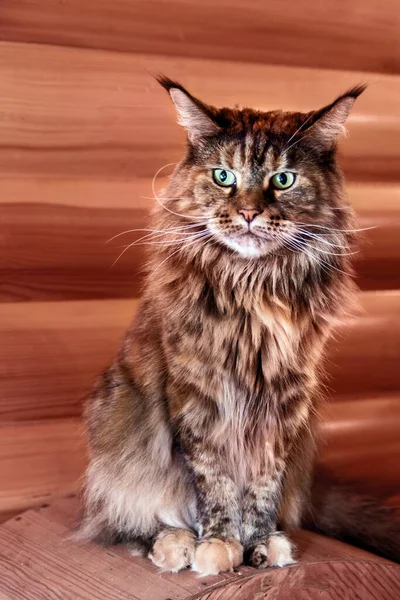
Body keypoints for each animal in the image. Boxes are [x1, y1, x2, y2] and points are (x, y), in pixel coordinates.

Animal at [80, 77, 362, 576]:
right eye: (223, 177)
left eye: (283, 180)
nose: (249, 213)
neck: (252, 289)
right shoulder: (197, 397)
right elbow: (214, 484)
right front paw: (218, 544)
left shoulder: (283, 406)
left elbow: (263, 485)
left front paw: (261, 543)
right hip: (117, 430)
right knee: (122, 521)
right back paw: (174, 545)